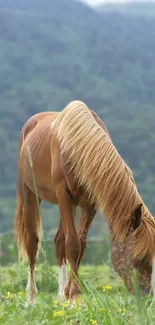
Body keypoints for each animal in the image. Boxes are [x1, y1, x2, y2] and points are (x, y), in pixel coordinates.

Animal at [13, 99, 155, 304]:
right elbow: (72, 245)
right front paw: (73, 296)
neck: (78, 147)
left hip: (69, 206)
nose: (146, 298)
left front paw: (71, 294)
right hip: (30, 194)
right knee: (32, 242)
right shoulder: (63, 195)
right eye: (140, 257)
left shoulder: (89, 204)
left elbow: (80, 244)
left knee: (59, 242)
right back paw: (31, 299)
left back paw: (61, 296)